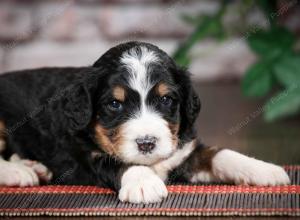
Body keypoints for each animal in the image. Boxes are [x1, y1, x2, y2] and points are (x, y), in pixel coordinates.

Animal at [0, 41, 290, 203]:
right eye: (114, 104)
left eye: (166, 100)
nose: (147, 143)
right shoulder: (89, 155)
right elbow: (120, 162)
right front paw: (144, 183)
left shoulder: (185, 152)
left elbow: (222, 154)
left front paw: (265, 169)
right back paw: (19, 172)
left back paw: (33, 166)